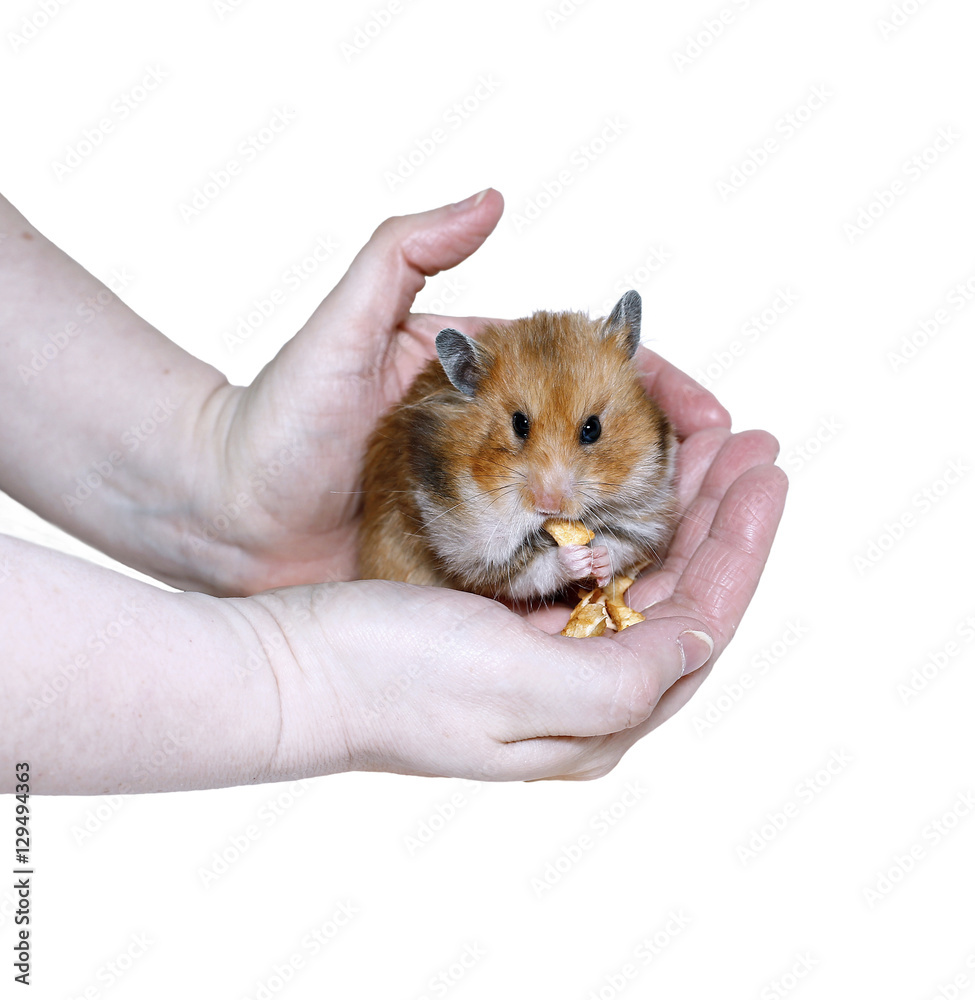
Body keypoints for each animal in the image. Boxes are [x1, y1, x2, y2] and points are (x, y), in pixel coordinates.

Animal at [357, 290, 678, 603]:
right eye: (519, 424)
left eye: (593, 428)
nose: (548, 506)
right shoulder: (473, 552)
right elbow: (534, 573)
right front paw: (575, 559)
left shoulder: (648, 510)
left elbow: (620, 545)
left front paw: (598, 560)